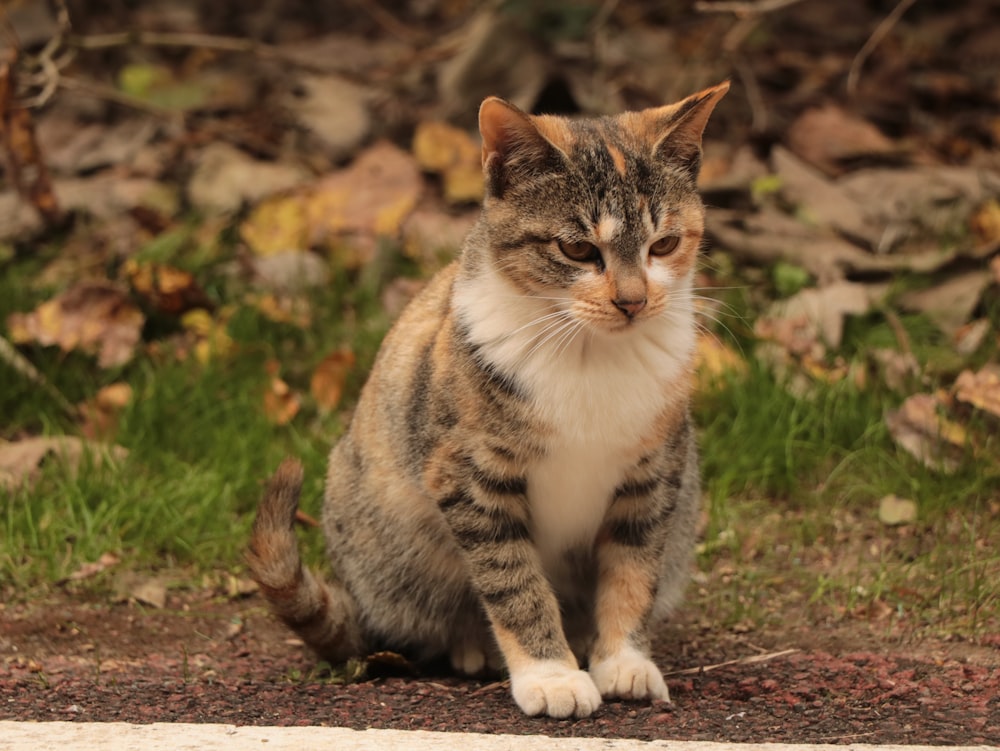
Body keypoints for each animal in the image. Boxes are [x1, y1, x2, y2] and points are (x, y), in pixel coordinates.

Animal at [242, 79, 728, 720]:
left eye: (665, 243)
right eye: (577, 250)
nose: (633, 301)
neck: (588, 352)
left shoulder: (655, 474)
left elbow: (633, 570)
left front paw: (622, 661)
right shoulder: (470, 475)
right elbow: (512, 579)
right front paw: (551, 675)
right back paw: (473, 648)